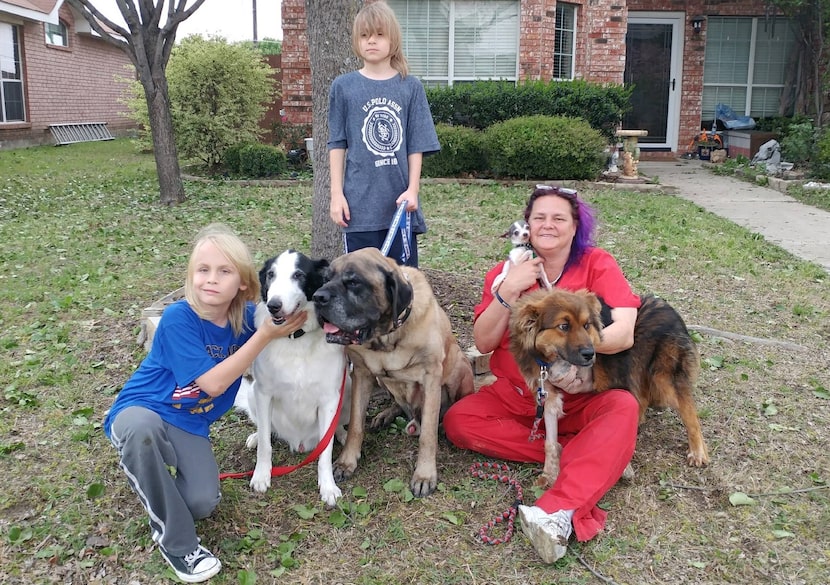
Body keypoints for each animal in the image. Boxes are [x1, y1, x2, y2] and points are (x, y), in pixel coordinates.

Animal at [234, 250, 352, 506]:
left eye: (298, 275)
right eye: (271, 274)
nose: (273, 306)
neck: (296, 338)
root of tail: (299, 444)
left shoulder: (330, 399)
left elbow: (325, 451)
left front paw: (328, 486)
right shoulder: (263, 393)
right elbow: (266, 445)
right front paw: (262, 475)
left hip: (347, 386)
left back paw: (343, 434)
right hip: (253, 393)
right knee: (265, 429)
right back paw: (256, 436)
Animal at [314, 246, 474, 498]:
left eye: (354, 282)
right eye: (326, 278)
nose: (317, 297)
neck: (386, 337)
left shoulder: (431, 378)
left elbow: (428, 435)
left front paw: (424, 475)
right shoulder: (361, 373)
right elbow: (356, 425)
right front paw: (346, 462)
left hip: (458, 367)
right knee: (398, 404)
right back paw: (385, 415)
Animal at [510, 288, 712, 488]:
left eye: (586, 325)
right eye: (564, 326)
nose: (590, 354)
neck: (553, 358)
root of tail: (672, 312)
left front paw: (624, 466)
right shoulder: (548, 395)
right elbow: (550, 442)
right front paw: (549, 473)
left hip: (664, 378)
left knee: (690, 413)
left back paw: (698, 452)